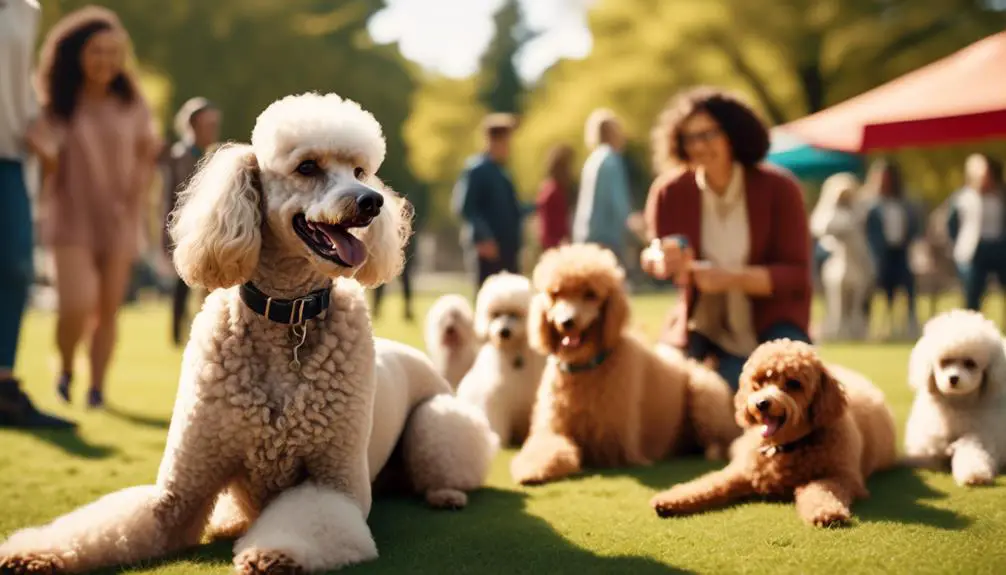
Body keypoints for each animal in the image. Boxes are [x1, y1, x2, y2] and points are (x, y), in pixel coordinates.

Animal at [511, 242, 740, 484]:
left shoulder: (611, 440)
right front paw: (533, 468)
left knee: (727, 440)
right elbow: (547, 447)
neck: (587, 367)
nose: (566, 322)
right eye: (556, 294)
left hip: (705, 395)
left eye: (590, 294)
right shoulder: (552, 428)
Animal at [651, 339, 897, 526]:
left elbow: (820, 490)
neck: (786, 447)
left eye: (794, 383)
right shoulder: (742, 471)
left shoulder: (843, 477)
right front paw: (670, 499)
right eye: (759, 381)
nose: (761, 403)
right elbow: (709, 483)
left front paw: (826, 512)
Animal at [905, 309, 1006, 484]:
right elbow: (931, 447)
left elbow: (972, 450)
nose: (953, 378)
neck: (958, 403)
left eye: (970, 363)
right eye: (945, 362)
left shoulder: (980, 434)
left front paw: (974, 475)